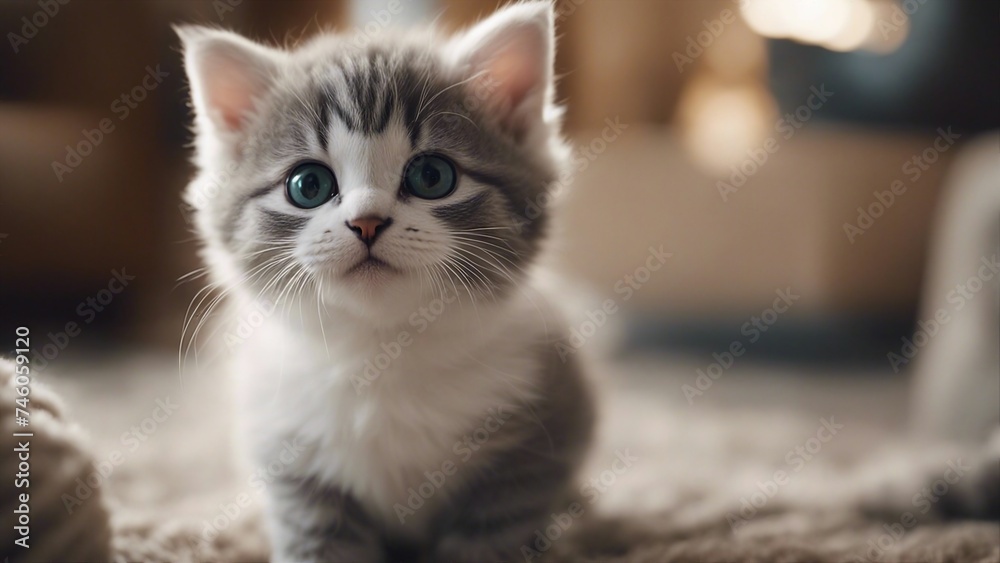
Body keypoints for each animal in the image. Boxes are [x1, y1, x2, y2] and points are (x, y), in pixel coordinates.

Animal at [178, 2, 592, 560]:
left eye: (432, 177)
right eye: (307, 185)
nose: (367, 221)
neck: (381, 351)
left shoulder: (532, 446)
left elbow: (491, 535)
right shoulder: (292, 461)